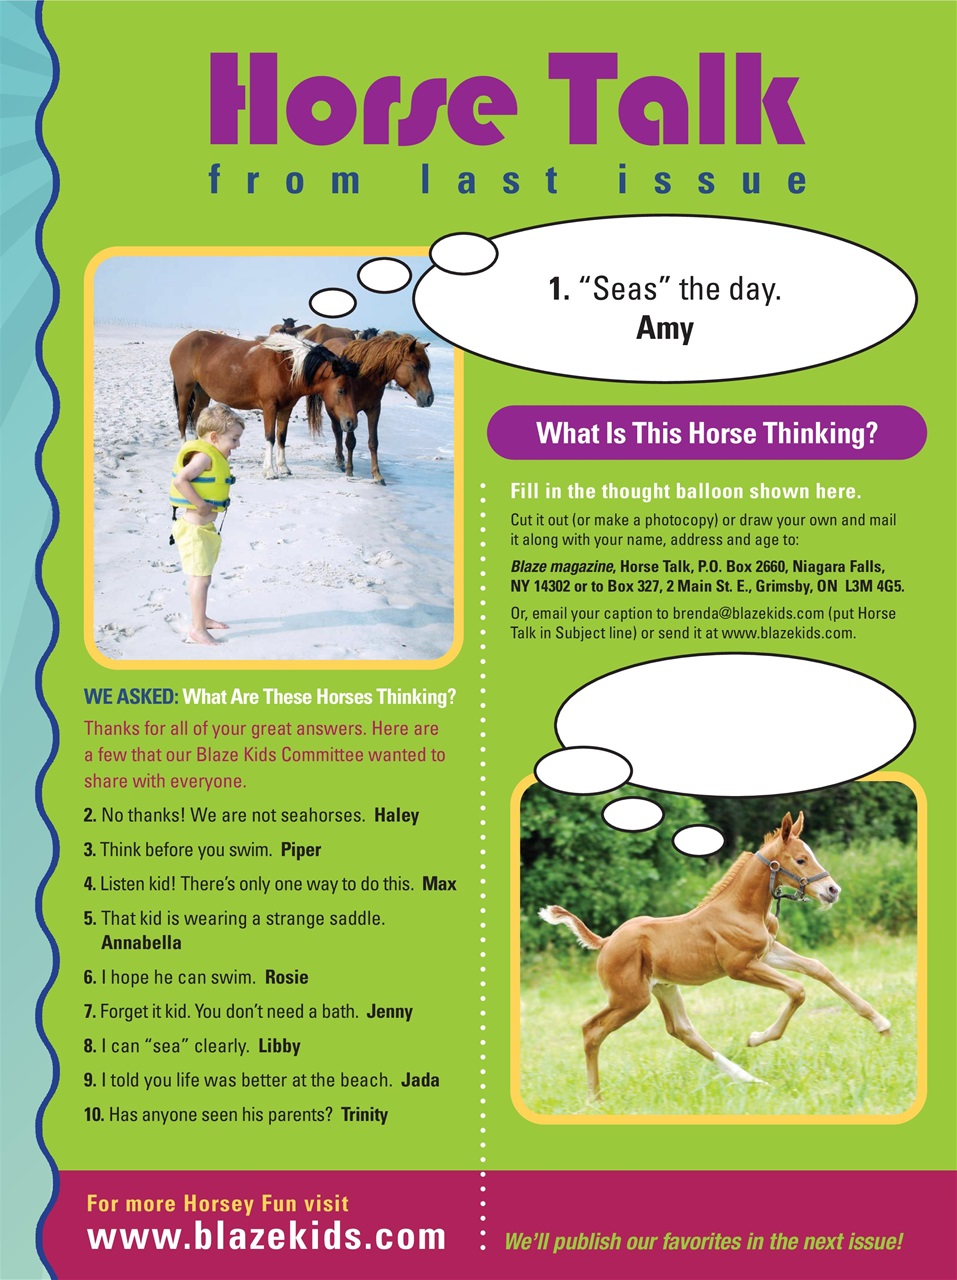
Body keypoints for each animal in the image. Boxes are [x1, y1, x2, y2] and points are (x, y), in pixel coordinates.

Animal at [169, 331, 359, 479]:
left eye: (354, 388)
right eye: (341, 390)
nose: (351, 423)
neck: (286, 366)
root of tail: (184, 341)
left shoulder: (286, 409)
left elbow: (282, 437)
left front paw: (283, 467)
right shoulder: (269, 407)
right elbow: (270, 437)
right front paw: (270, 471)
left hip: (202, 392)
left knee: (196, 419)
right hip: (185, 390)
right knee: (182, 421)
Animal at [317, 332, 434, 483]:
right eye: (415, 366)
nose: (429, 398)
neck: (364, 376)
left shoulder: (374, 410)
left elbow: (373, 442)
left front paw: (377, 475)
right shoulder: (350, 411)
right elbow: (350, 442)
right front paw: (349, 470)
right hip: (332, 408)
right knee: (337, 431)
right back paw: (340, 460)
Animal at [540, 812, 891, 1098]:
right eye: (801, 860)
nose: (833, 891)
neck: (741, 909)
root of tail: (607, 941)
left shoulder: (768, 952)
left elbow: (818, 968)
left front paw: (881, 1023)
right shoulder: (741, 967)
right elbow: (798, 989)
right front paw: (756, 1037)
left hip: (663, 988)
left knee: (683, 1031)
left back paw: (749, 1080)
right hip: (630, 999)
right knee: (591, 1030)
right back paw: (594, 1099)